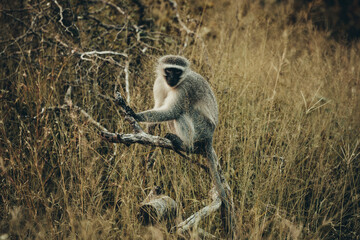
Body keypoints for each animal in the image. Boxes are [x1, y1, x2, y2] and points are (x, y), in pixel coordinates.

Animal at [134, 54, 233, 232]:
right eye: (169, 70)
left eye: (177, 71)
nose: (172, 78)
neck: (173, 85)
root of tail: (211, 135)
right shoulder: (159, 83)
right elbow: (158, 107)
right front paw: (149, 136)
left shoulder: (184, 89)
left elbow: (171, 111)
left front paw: (133, 113)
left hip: (203, 128)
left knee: (181, 113)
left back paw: (185, 145)